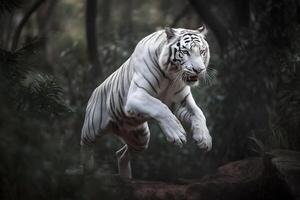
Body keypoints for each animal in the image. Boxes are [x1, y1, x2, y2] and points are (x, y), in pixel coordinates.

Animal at [79, 26, 211, 178]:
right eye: (186, 52)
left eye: (202, 51)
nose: (199, 70)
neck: (171, 77)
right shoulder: (136, 95)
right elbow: (160, 107)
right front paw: (177, 135)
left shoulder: (182, 102)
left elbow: (199, 114)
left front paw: (204, 139)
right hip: (92, 128)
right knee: (85, 145)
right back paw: (88, 170)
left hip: (140, 138)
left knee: (121, 154)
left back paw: (126, 179)